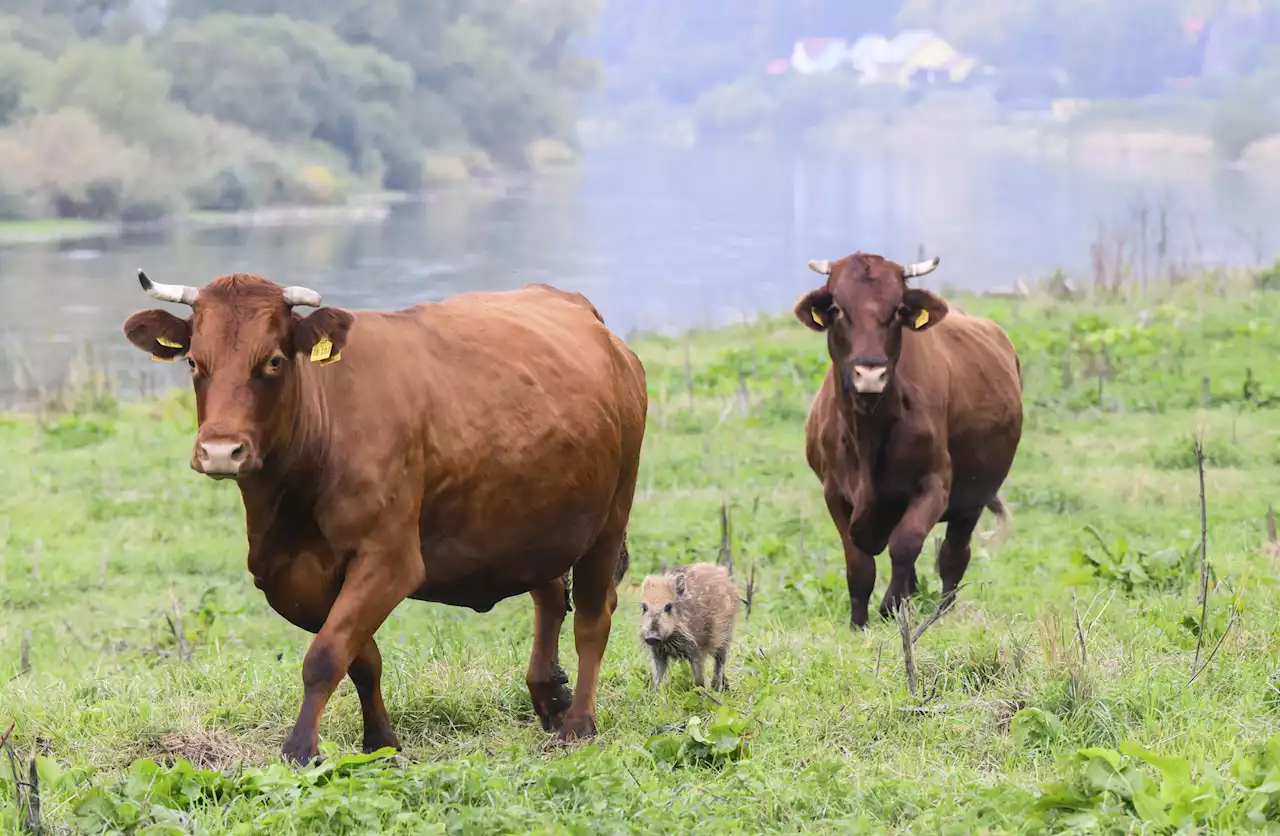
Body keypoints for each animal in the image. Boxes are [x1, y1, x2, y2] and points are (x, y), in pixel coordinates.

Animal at [123, 270, 645, 757]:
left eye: (272, 360)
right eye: (194, 361)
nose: (220, 451)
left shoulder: (390, 559)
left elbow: (325, 656)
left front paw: (300, 749)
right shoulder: (286, 573)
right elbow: (360, 657)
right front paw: (380, 742)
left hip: (611, 516)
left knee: (593, 618)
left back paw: (578, 723)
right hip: (539, 519)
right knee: (551, 594)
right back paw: (548, 695)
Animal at [793, 252, 1024, 624]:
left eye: (899, 309)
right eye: (838, 308)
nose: (870, 372)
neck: (868, 433)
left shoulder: (934, 485)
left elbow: (905, 545)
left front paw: (892, 607)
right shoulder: (834, 492)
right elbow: (858, 564)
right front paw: (858, 623)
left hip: (973, 496)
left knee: (953, 555)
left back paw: (942, 612)